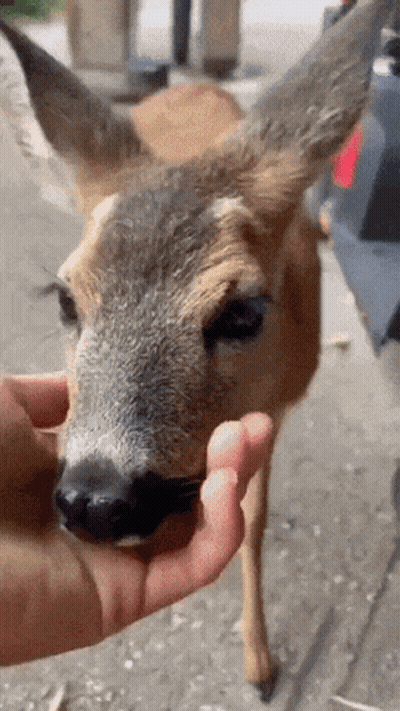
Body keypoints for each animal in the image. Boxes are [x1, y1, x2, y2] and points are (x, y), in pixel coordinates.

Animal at [0, 0, 395, 700]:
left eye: (243, 313)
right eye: (66, 299)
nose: (96, 501)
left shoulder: (278, 408)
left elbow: (253, 522)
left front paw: (260, 662)